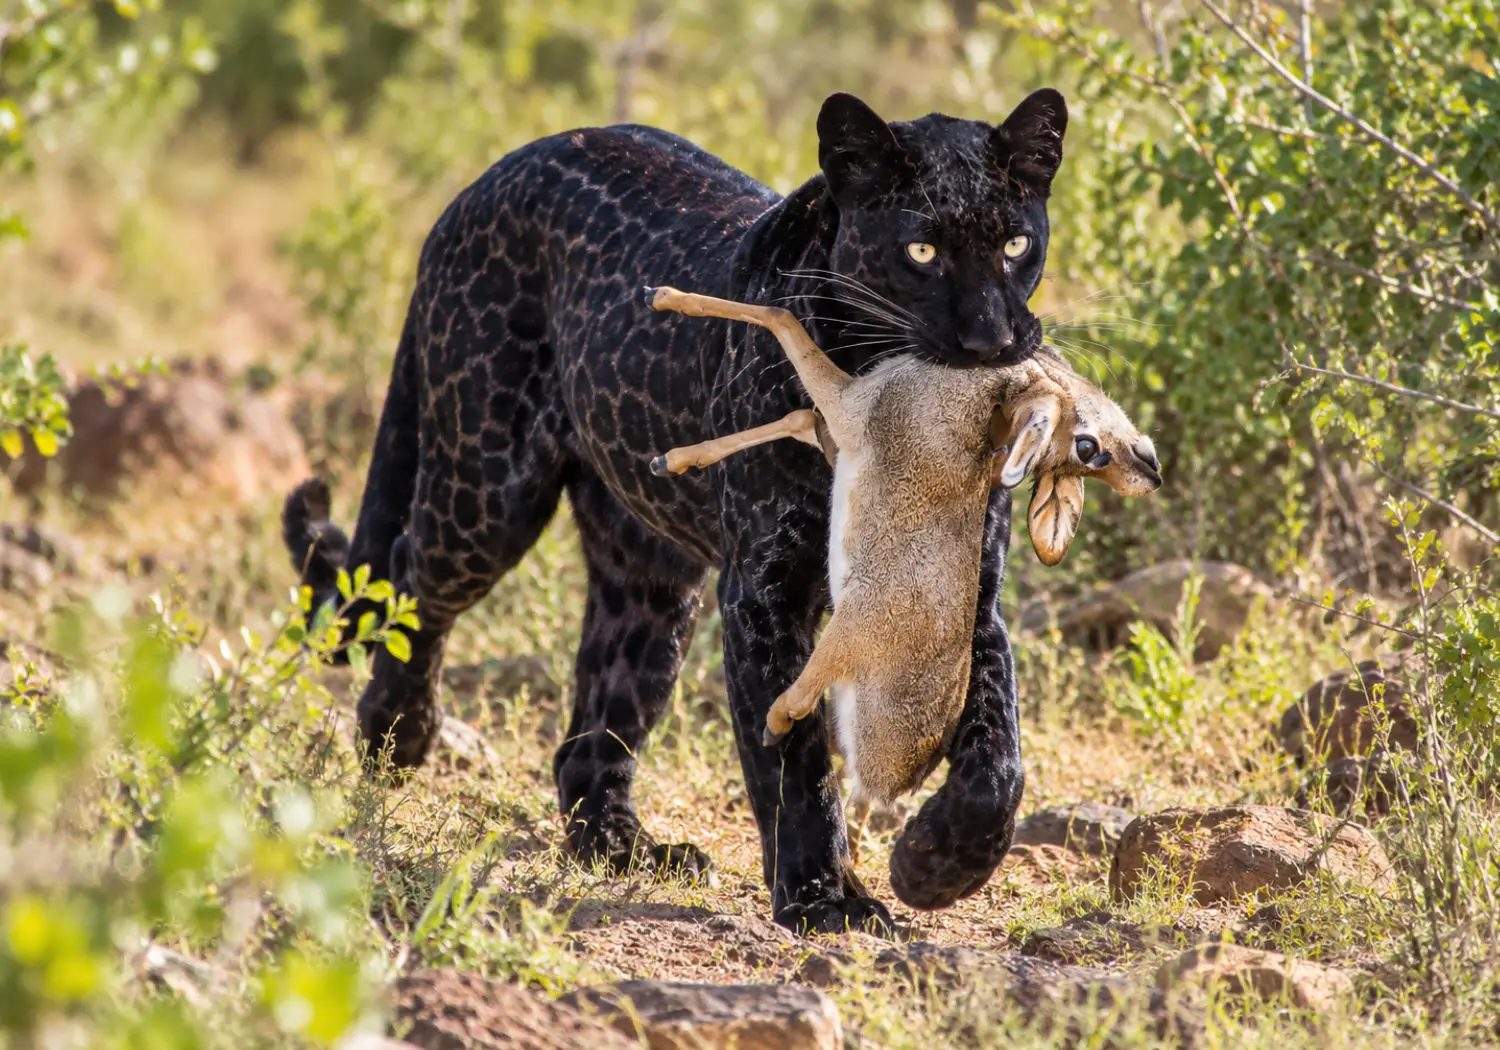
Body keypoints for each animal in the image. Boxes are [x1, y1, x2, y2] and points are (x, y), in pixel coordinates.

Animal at [281, 88, 1069, 935]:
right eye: (922, 251)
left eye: (1016, 243)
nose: (990, 340)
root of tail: (483, 182)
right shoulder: (763, 592)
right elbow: (793, 757)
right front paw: (823, 899)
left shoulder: (963, 590)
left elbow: (998, 749)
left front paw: (934, 864)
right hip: (485, 497)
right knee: (407, 583)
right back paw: (396, 737)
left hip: (651, 583)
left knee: (595, 723)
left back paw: (623, 847)